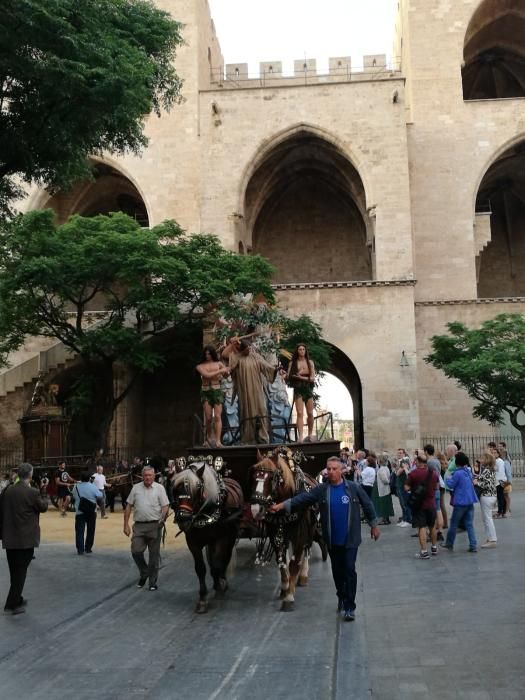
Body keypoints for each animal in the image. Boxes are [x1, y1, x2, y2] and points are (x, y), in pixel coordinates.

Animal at [173, 460, 245, 612]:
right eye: (175, 489)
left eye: (197, 487)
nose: (183, 518)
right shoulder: (193, 543)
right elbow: (201, 568)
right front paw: (203, 599)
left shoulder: (221, 539)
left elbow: (217, 564)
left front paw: (219, 588)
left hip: (230, 537)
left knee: (225, 558)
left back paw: (222, 580)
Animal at [249, 452, 318, 608]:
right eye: (254, 476)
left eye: (272, 478)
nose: (256, 509)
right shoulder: (275, 533)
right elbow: (281, 560)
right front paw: (285, 587)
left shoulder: (299, 534)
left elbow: (294, 562)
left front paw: (289, 596)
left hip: (310, 529)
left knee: (306, 549)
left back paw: (303, 575)